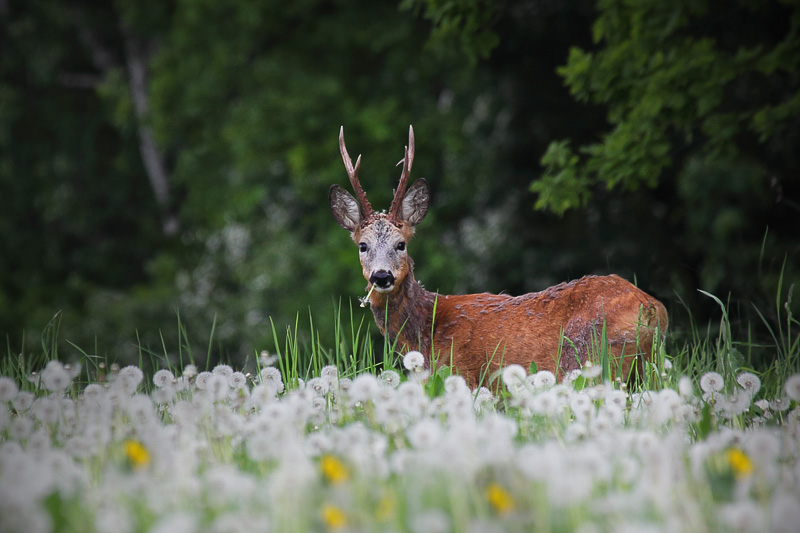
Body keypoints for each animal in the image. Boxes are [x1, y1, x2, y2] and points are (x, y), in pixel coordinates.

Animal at [328, 127, 664, 388]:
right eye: (363, 246)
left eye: (401, 244)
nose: (381, 276)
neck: (426, 332)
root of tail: (652, 309)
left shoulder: (462, 377)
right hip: (644, 368)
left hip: (590, 358)